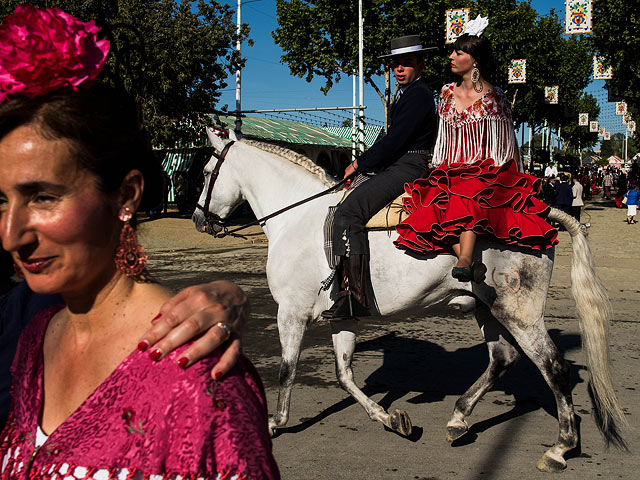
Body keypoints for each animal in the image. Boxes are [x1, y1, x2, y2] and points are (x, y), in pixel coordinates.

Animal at [192, 130, 628, 472]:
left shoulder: (291, 314)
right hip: (488, 309)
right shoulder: (343, 317)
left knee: (553, 368)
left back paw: (560, 448)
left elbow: (286, 371)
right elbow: (344, 374)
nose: (198, 219)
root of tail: (541, 213)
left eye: (205, 171)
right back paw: (459, 419)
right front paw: (388, 418)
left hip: (519, 312)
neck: (299, 220)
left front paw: (274, 424)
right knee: (502, 359)